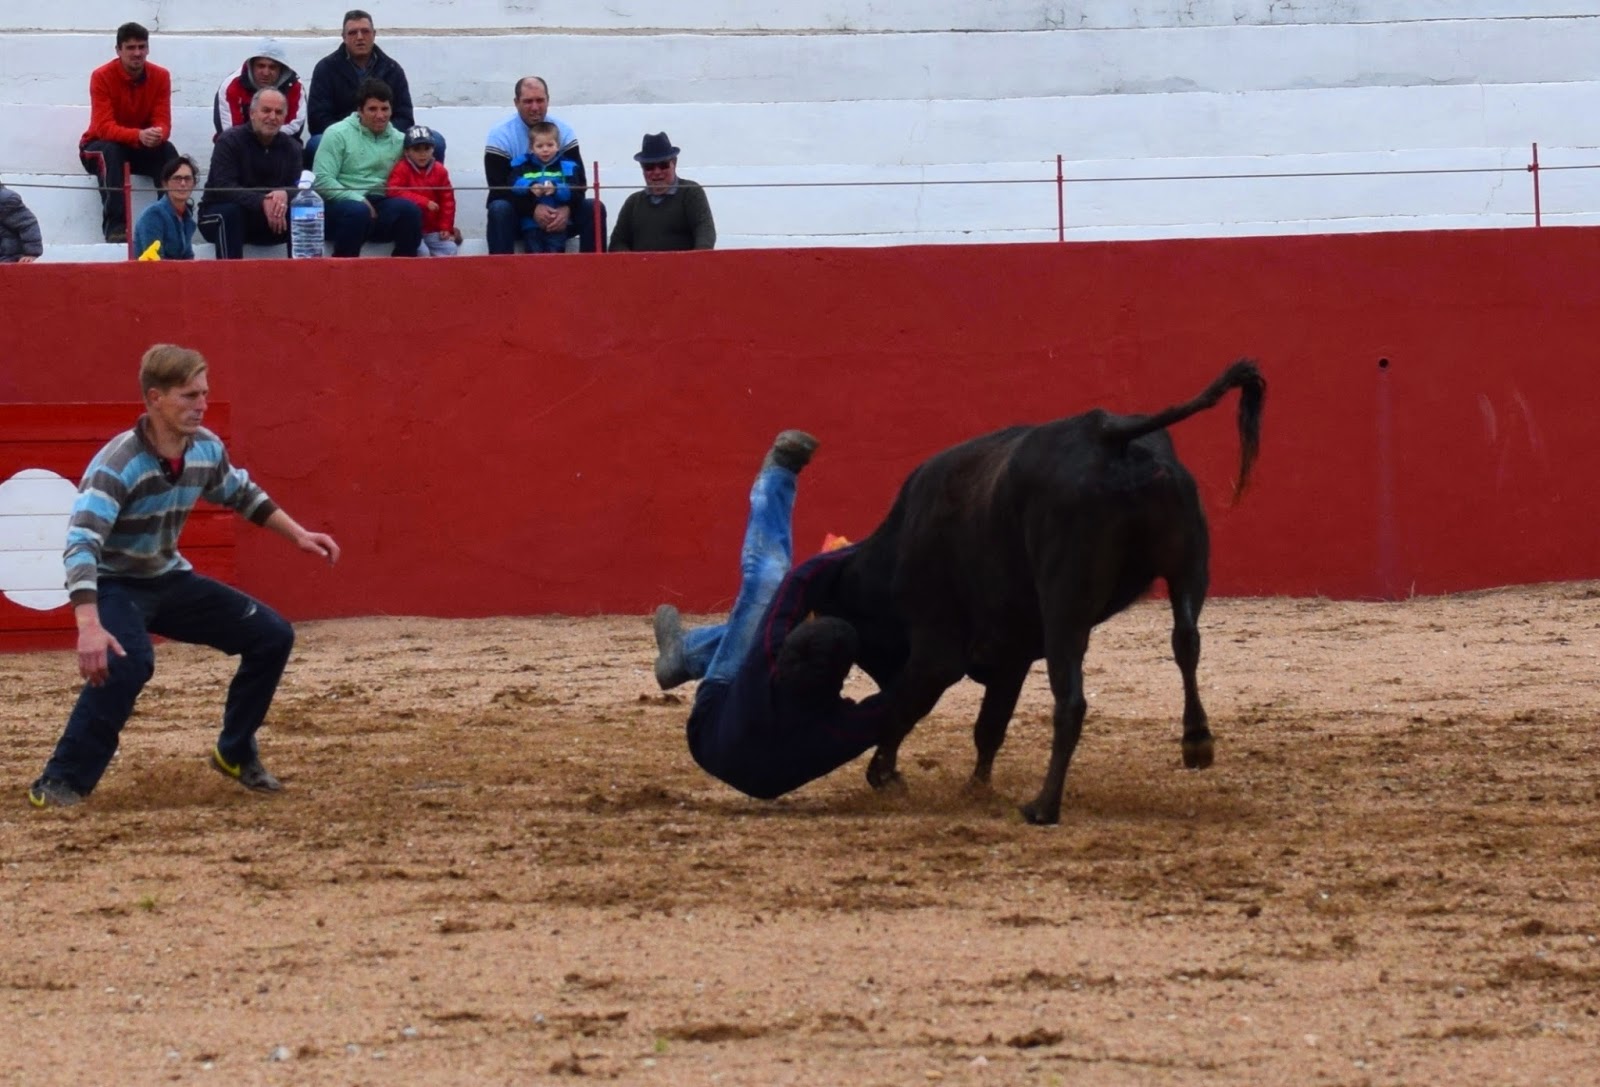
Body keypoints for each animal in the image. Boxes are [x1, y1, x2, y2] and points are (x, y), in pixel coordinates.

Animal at [817, 359, 1265, 825]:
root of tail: (1108, 435)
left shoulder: (937, 651)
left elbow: (905, 705)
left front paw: (885, 776)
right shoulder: (1011, 656)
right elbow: (989, 725)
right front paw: (975, 790)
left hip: (1064, 603)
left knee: (1071, 699)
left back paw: (1044, 805)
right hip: (1187, 569)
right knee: (1186, 641)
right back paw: (1196, 740)